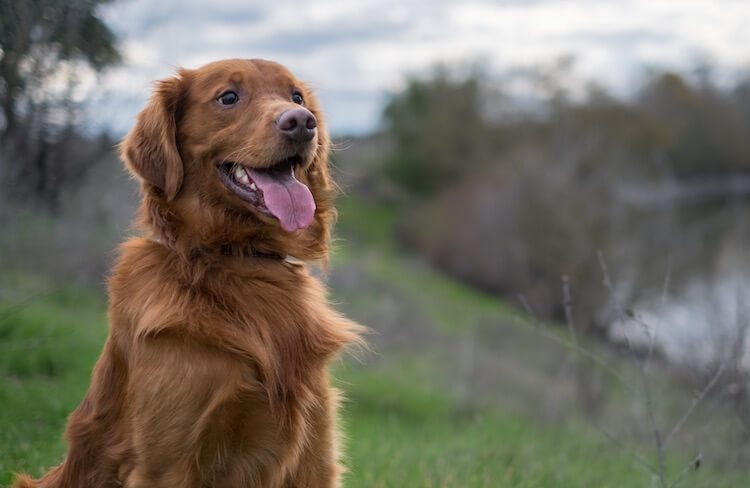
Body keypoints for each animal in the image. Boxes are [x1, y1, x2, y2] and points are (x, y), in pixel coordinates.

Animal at [11, 59, 364, 486]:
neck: (236, 259)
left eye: (296, 96)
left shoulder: (315, 456)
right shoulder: (167, 463)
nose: (301, 122)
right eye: (228, 97)